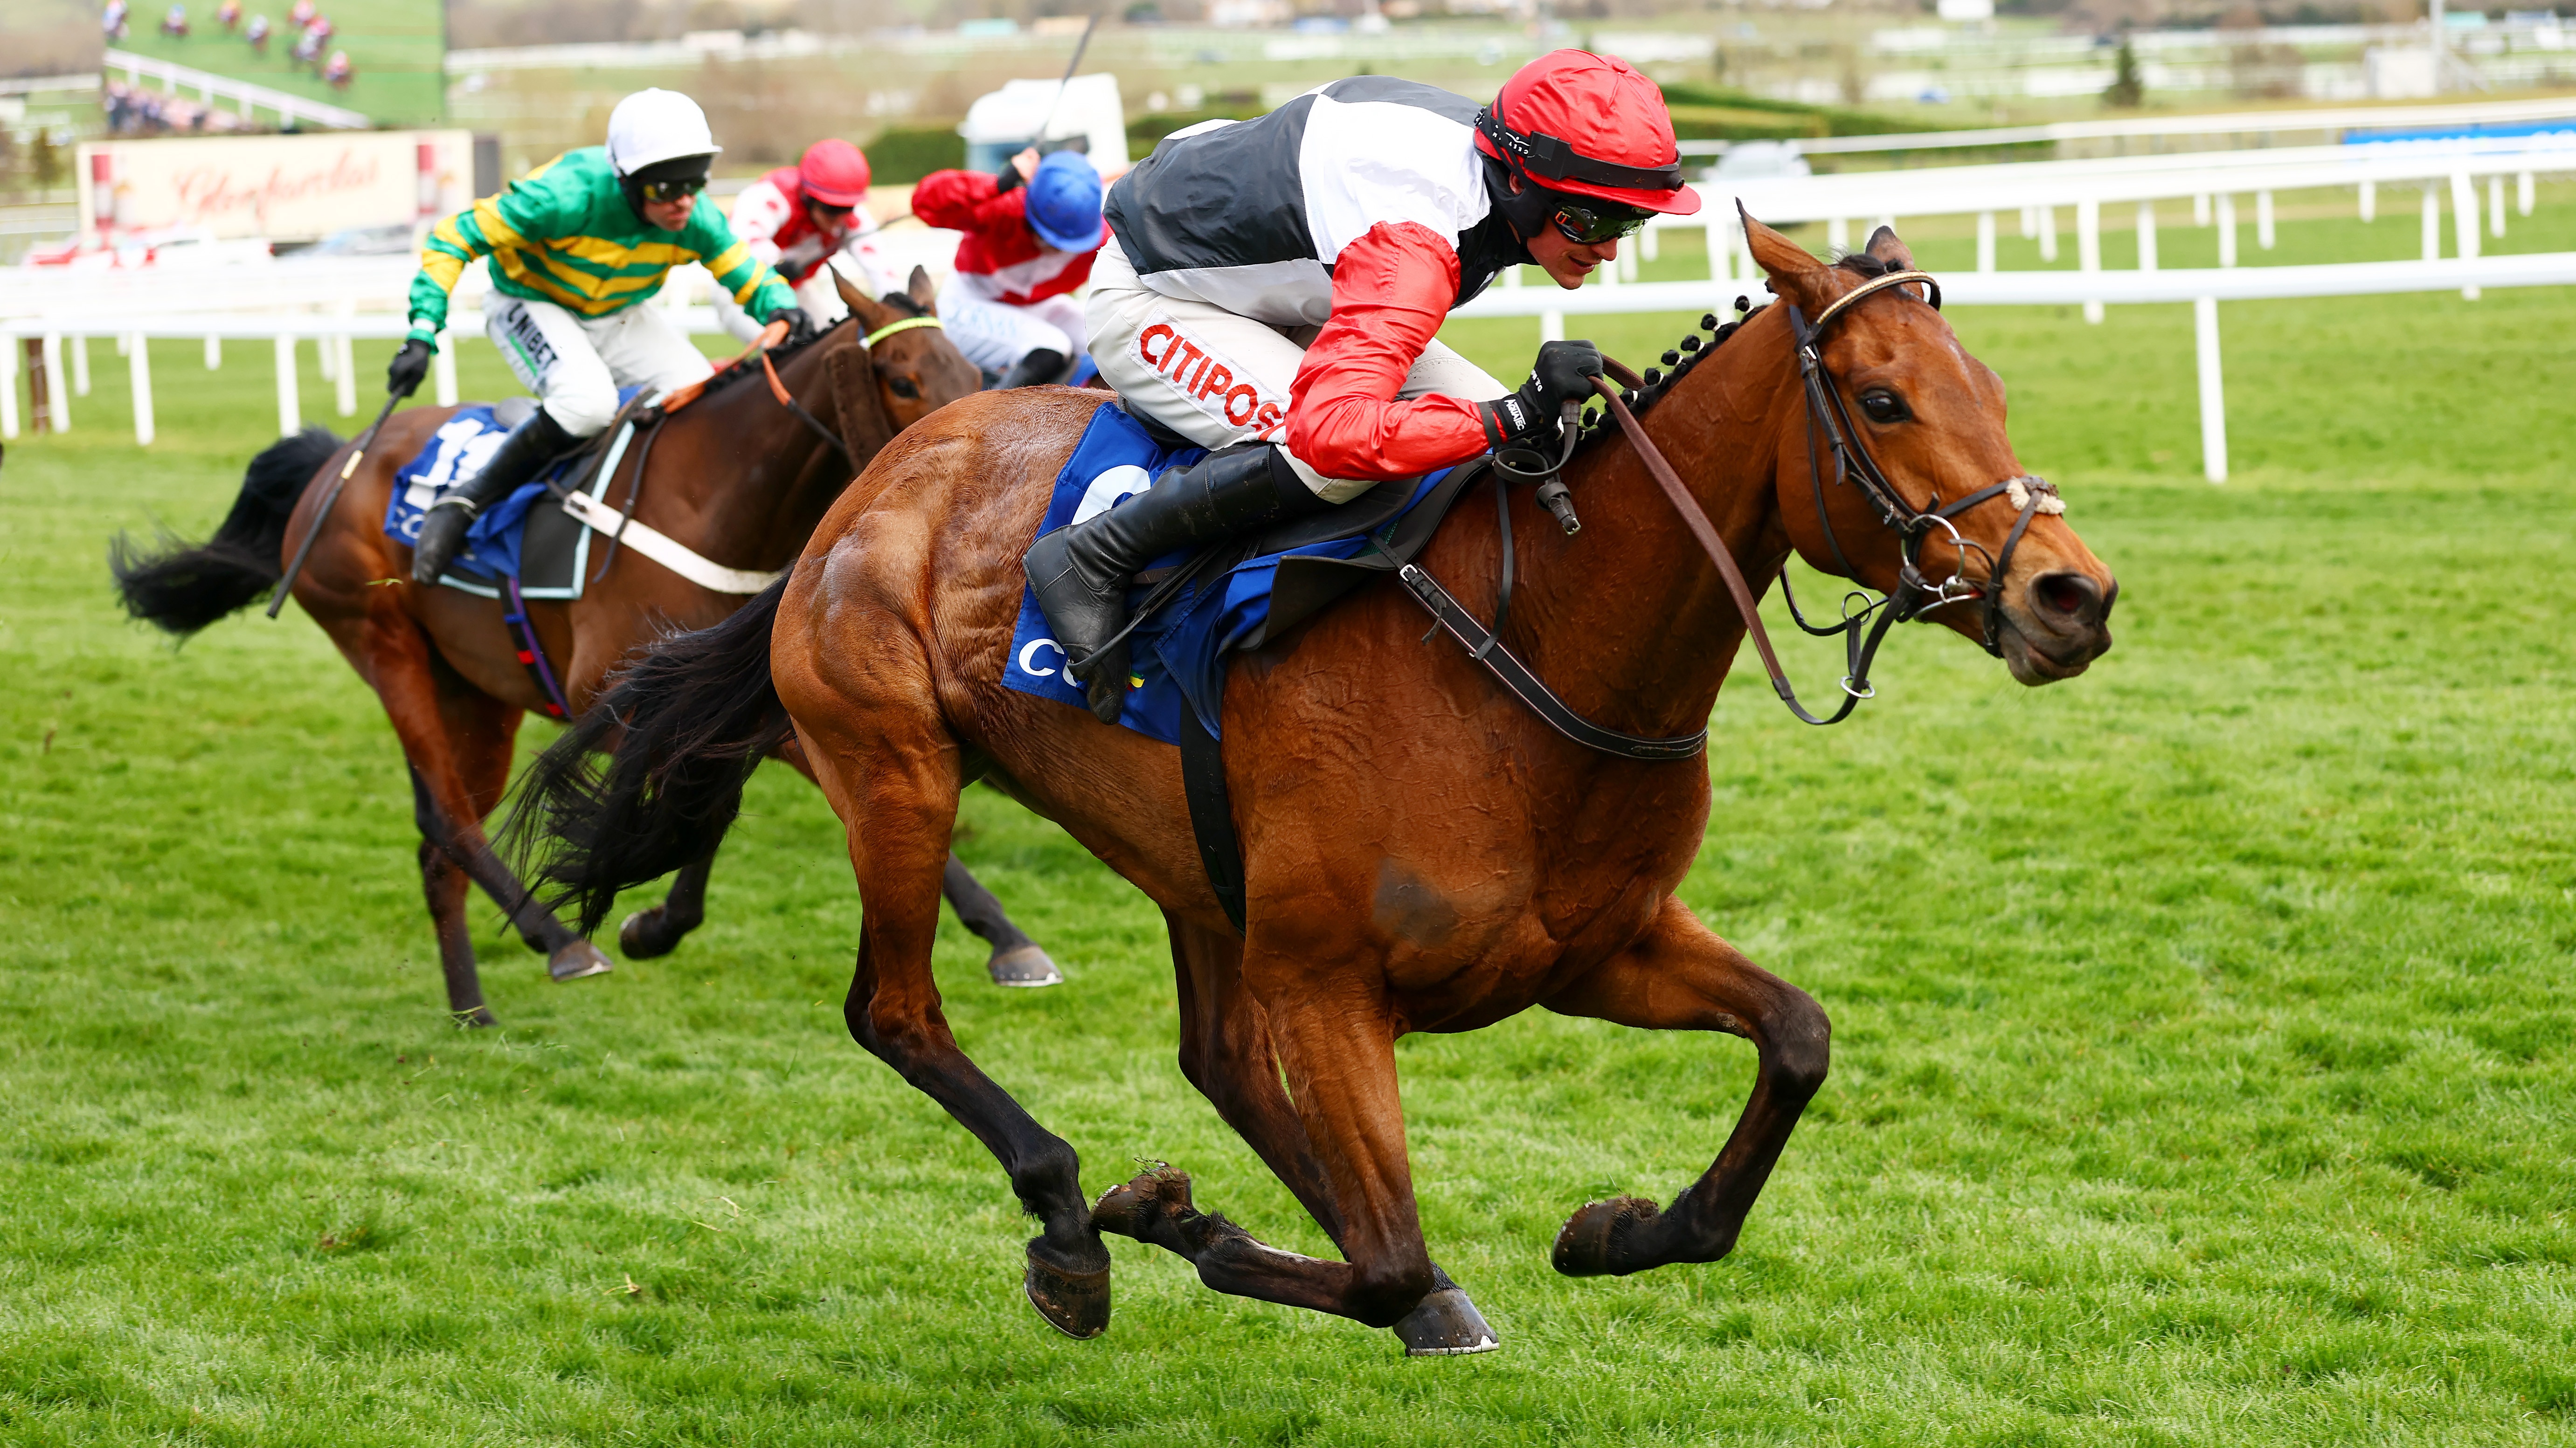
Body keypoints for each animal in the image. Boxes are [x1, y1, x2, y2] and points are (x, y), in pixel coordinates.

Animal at [110, 267, 1055, 1027]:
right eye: (901, 378)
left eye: (971, 371)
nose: (982, 452)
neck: (712, 502)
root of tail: (335, 457)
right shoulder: (625, 695)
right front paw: (646, 923)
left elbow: (724, 798)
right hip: (381, 644)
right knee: (450, 818)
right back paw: (557, 940)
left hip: (477, 692)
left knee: (437, 839)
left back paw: (471, 1006)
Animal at [512, 220, 2119, 1352]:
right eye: (1883, 399)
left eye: (1985, 386)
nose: (2070, 595)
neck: (1532, 654)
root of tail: (876, 478)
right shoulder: (1333, 981)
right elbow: (1387, 1252)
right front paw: (1178, 1225)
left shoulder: (1590, 947)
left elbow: (1794, 1040)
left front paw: (1612, 1232)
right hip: (895, 769)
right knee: (896, 1012)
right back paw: (1071, 1222)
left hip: (1187, 858)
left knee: (1217, 1057)